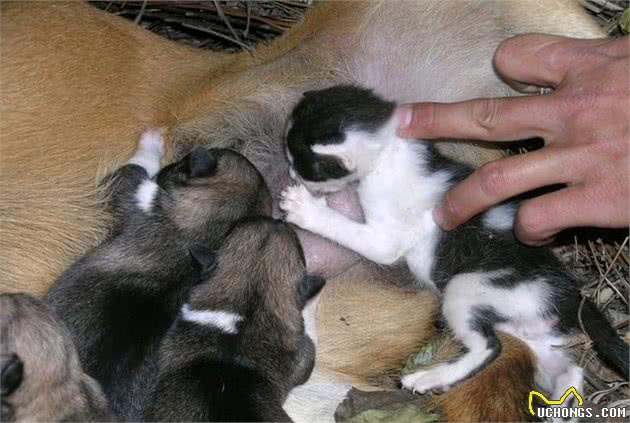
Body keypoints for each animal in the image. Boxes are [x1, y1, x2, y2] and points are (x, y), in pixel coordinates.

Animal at [47, 131, 274, 422]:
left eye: (181, 164)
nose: (168, 165)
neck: (215, 229)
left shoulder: (136, 192)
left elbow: (137, 166)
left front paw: (151, 141)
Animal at [282, 85, 630, 400]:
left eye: (300, 164)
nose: (291, 173)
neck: (392, 147)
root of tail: (570, 294)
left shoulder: (387, 237)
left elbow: (353, 231)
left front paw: (305, 209)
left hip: (467, 289)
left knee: (489, 347)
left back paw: (430, 378)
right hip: (531, 331)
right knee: (570, 371)